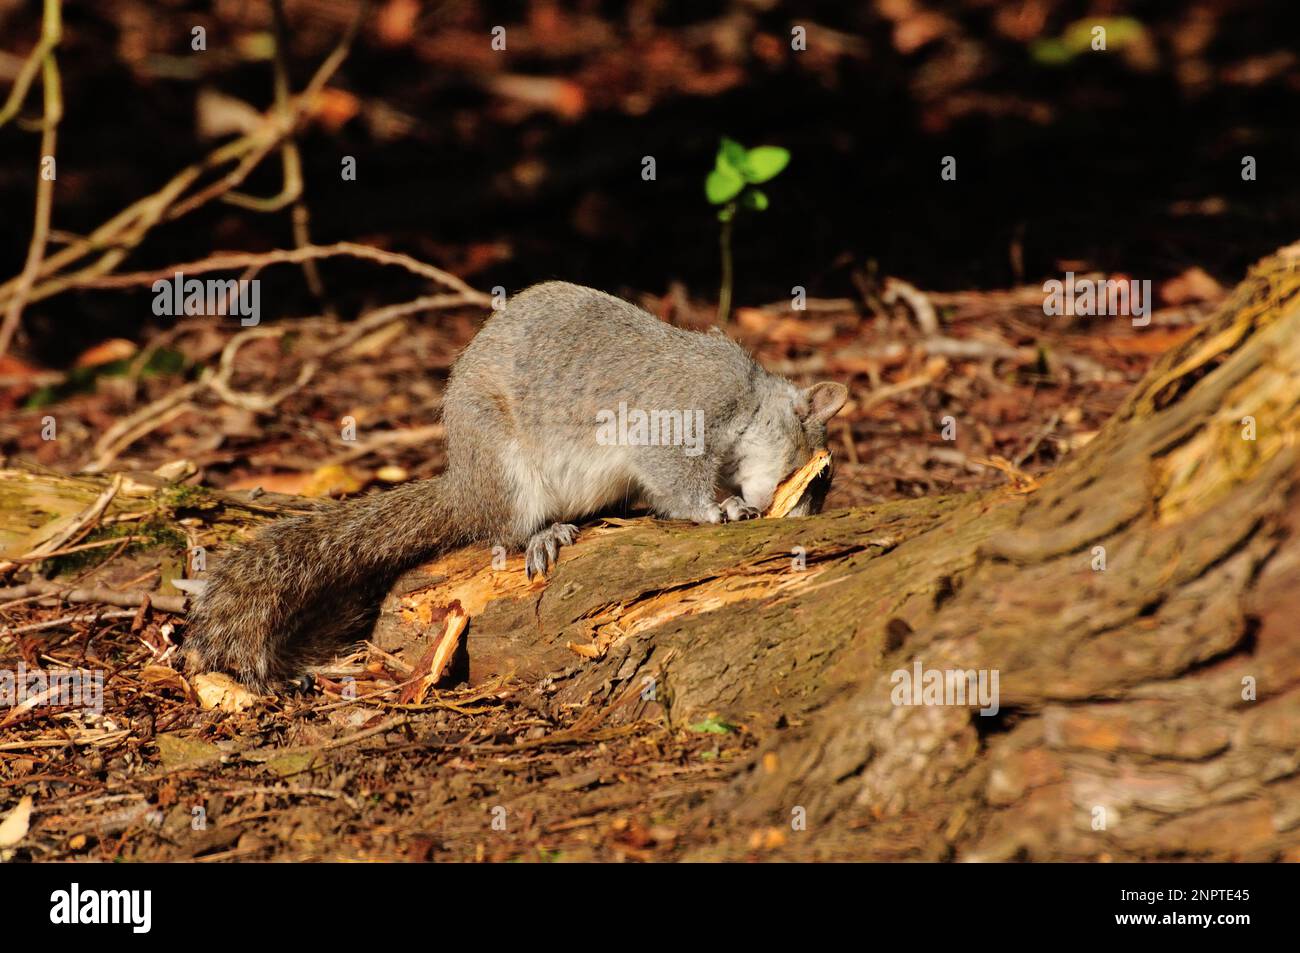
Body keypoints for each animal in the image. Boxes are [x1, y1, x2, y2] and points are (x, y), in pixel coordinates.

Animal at [183, 281, 848, 690]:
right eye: (813, 471)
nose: (799, 519)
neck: (749, 404)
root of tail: (464, 487)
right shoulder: (678, 415)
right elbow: (674, 477)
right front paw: (719, 510)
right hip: (506, 466)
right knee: (502, 532)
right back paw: (542, 536)